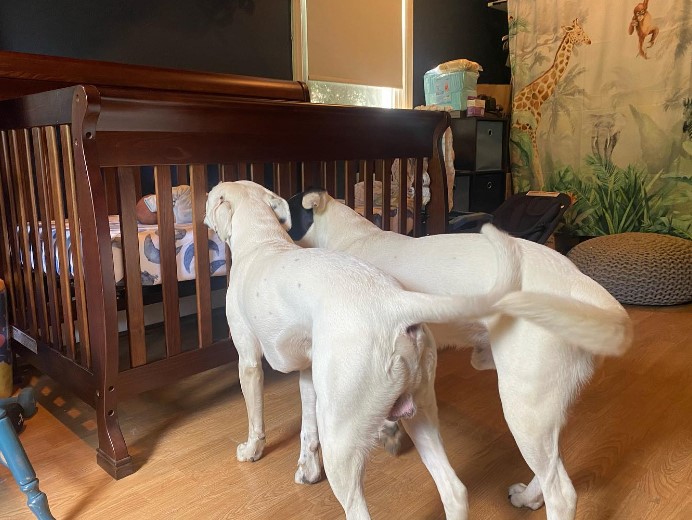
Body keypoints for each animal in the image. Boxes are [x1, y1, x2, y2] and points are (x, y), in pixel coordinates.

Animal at [205, 181, 524, 516]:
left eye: (212, 195)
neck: (262, 240)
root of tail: (396, 303)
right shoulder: (308, 375)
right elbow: (307, 430)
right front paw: (308, 469)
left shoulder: (248, 361)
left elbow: (256, 417)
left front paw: (251, 450)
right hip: (420, 415)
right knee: (455, 490)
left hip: (340, 440)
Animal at [286, 189, 632, 520]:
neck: (349, 237)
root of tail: (583, 287)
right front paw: (389, 430)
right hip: (544, 408)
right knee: (552, 465)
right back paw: (528, 498)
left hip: (523, 406)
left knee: (561, 492)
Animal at [510, 19, 592, 188]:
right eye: (578, 32)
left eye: (583, 30)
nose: (589, 41)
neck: (539, 97)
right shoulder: (531, 129)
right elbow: (537, 166)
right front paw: (541, 189)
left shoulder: (528, 133)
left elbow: (533, 165)